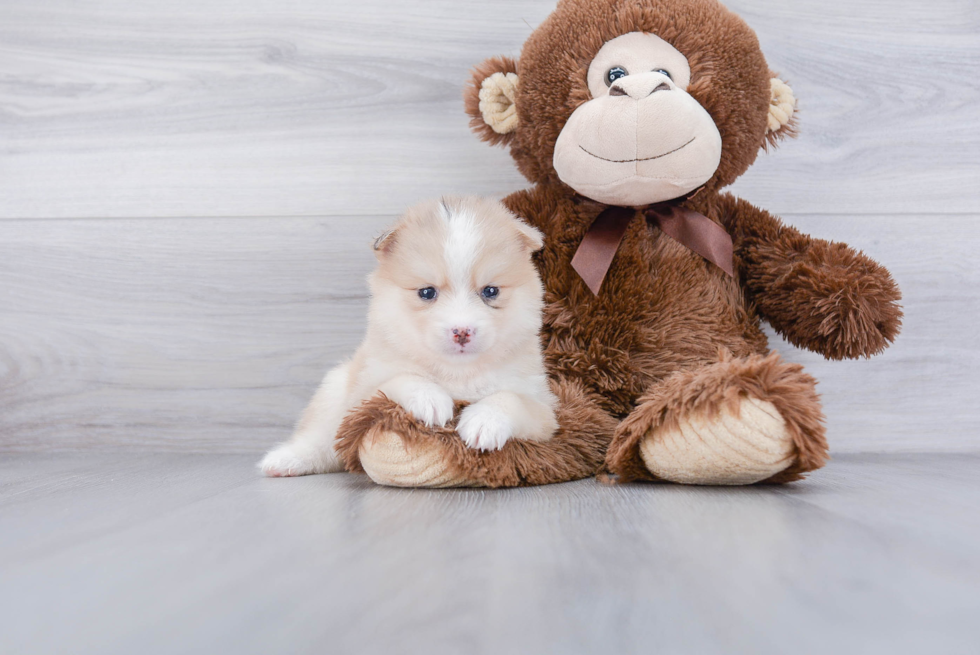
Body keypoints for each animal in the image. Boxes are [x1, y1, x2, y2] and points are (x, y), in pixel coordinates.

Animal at [258, 195, 560, 476]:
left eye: (490, 291)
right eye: (426, 292)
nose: (462, 331)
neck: (457, 374)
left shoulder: (544, 411)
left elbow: (511, 399)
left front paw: (485, 420)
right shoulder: (365, 395)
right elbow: (401, 379)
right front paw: (430, 399)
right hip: (334, 390)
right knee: (320, 441)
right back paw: (285, 461)